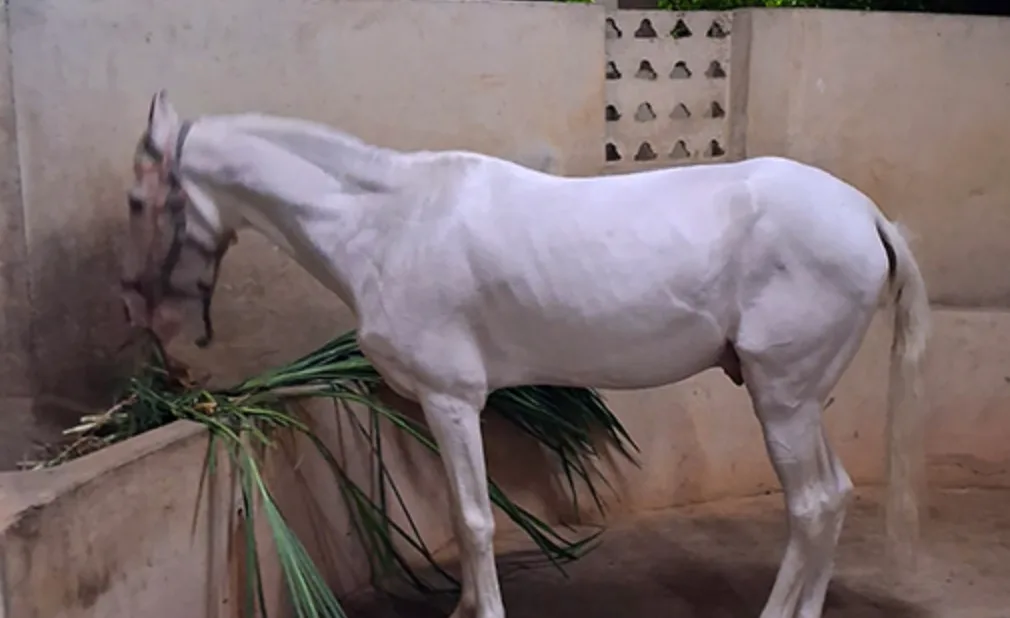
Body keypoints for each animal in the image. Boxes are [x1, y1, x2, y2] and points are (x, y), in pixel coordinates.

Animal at [120, 90, 930, 618]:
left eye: (135, 202)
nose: (141, 317)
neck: (388, 224)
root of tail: (866, 213)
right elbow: (462, 515)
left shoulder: (451, 399)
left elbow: (475, 521)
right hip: (797, 397)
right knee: (834, 498)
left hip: (781, 398)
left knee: (812, 504)